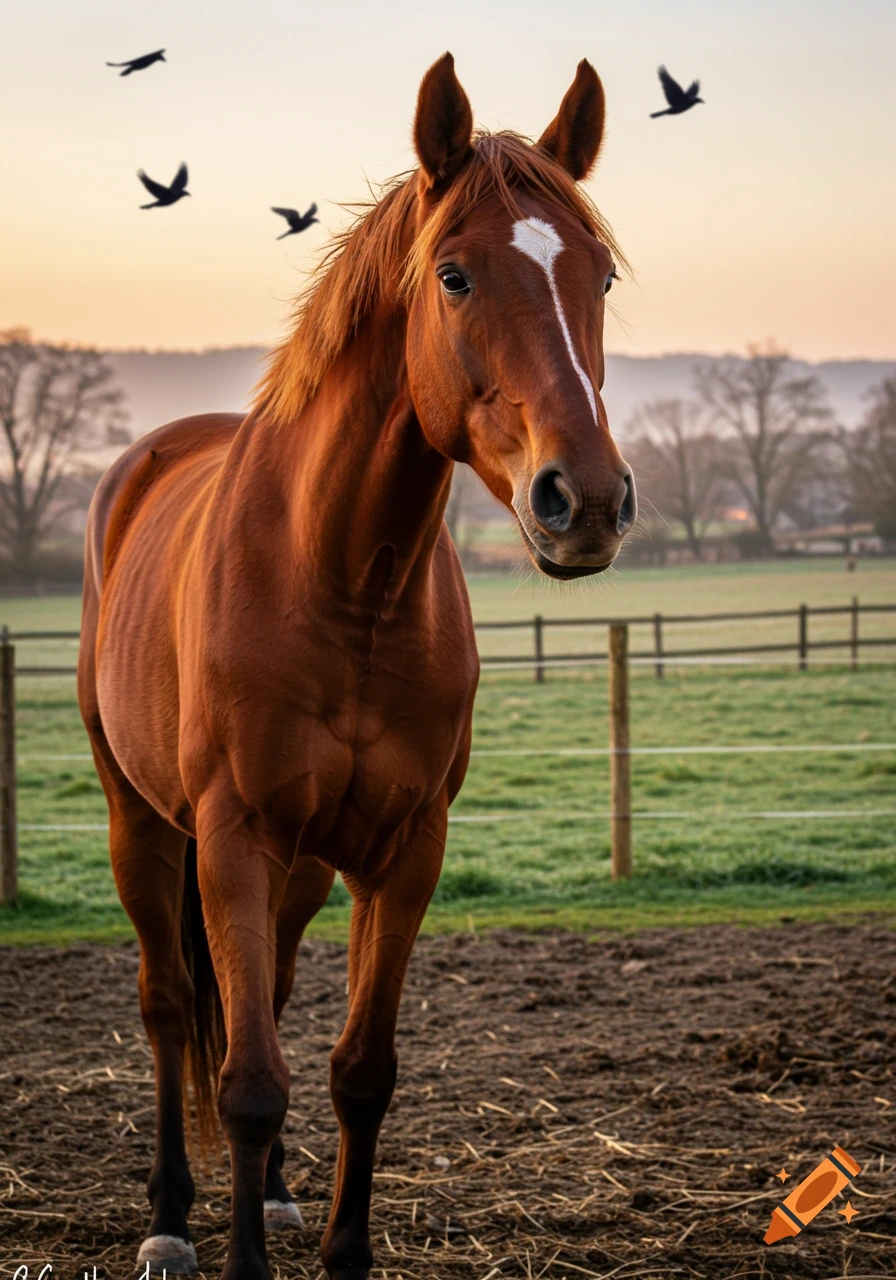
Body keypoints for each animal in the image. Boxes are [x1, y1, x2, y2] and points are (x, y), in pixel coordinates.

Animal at [77, 51, 636, 1280]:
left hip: (300, 866)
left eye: (602, 276)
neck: (343, 584)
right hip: (146, 825)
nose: (584, 501)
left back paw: (279, 1196)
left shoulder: (404, 848)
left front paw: (334, 1240)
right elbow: (245, 1081)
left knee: (272, 996)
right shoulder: (234, 837)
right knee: (173, 1006)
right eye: (454, 275)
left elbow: (355, 1070)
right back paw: (169, 1218)